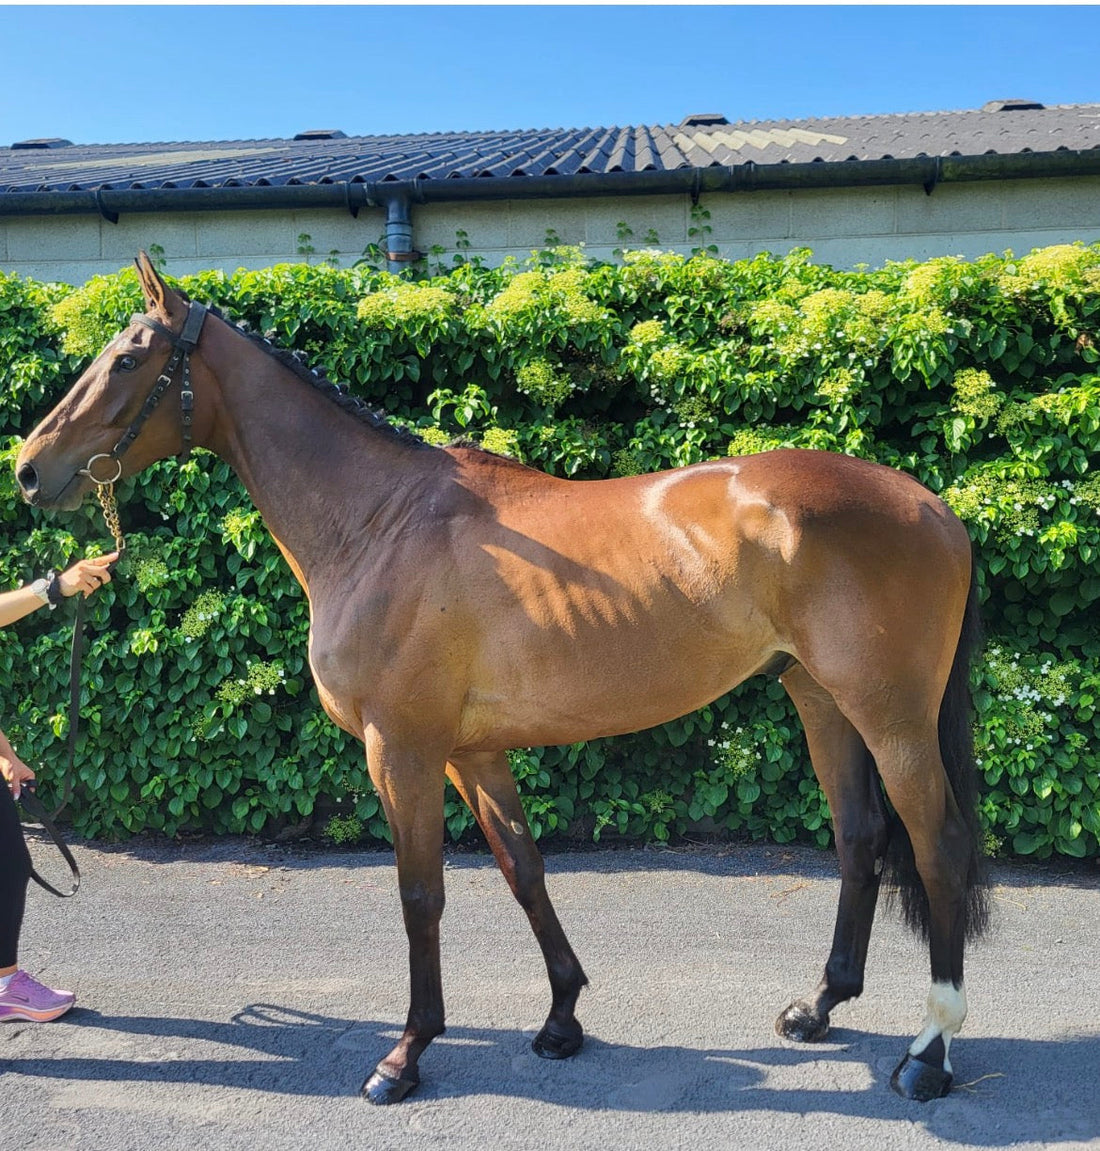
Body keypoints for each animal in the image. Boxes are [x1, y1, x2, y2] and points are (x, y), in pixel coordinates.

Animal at [15, 252, 989, 1105]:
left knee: (936, 845)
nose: (28, 470)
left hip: (892, 718)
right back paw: (817, 1008)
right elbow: (524, 869)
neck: (380, 521)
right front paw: (561, 1018)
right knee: (861, 837)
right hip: (821, 699)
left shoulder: (402, 750)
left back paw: (929, 1055)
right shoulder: (472, 752)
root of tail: (934, 506)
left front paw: (404, 1056)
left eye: (128, 357)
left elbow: (420, 894)